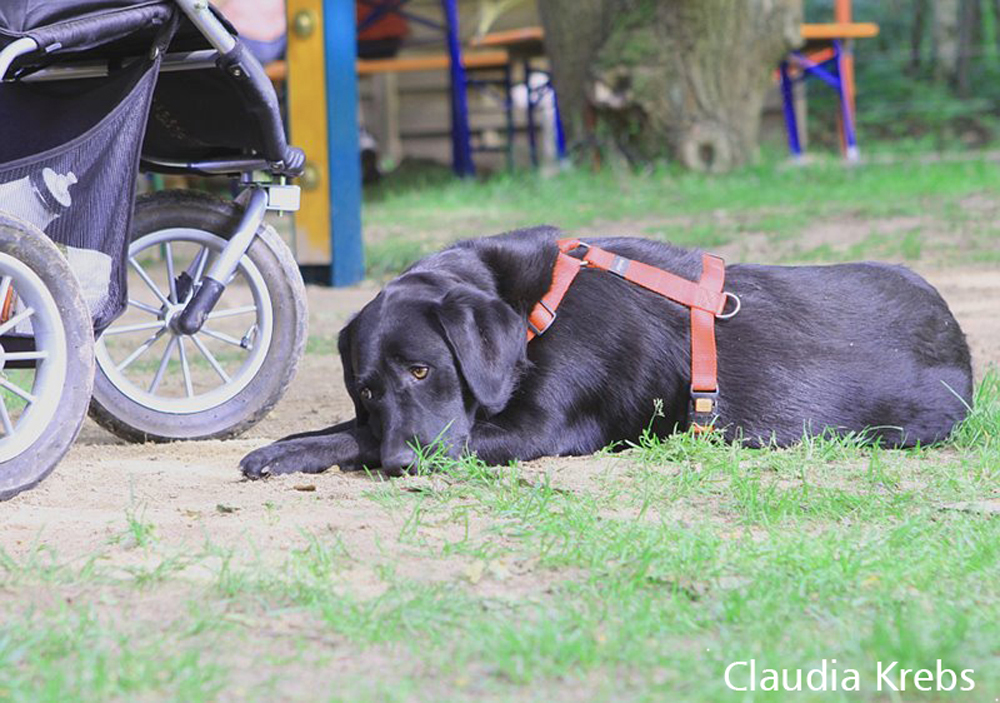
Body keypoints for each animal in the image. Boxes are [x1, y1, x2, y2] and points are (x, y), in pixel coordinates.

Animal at [240, 227, 973, 478]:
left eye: (423, 370)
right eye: (366, 387)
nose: (400, 464)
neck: (534, 310)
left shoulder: (541, 430)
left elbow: (361, 438)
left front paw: (287, 453)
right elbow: (351, 428)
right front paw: (291, 445)